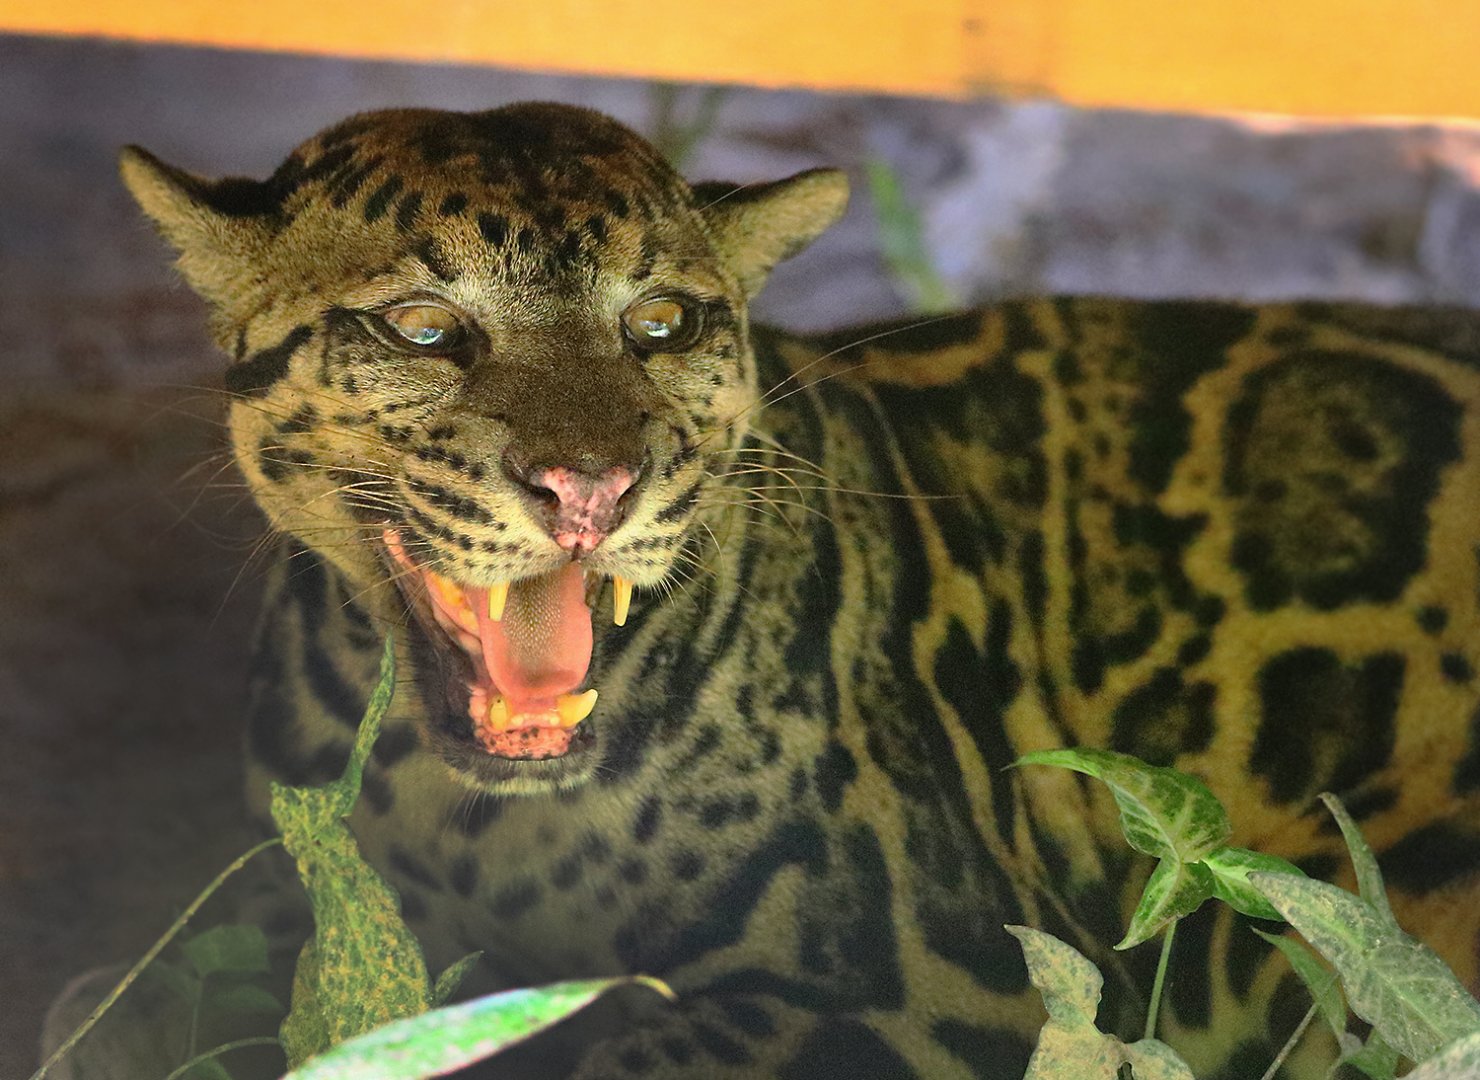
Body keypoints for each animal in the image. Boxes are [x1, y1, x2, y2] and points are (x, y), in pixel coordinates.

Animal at [113, 101, 1480, 1079]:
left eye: (663, 324)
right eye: (423, 329)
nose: (591, 489)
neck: (476, 820)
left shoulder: (955, 982)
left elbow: (643, 1048)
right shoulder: (317, 916)